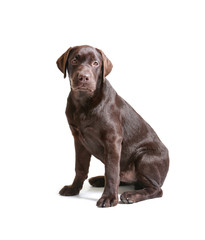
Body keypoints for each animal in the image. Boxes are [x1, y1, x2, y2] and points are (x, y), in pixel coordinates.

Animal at [55, 46, 168, 207]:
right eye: (74, 60)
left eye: (96, 63)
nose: (83, 77)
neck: (84, 102)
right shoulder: (78, 139)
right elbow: (80, 167)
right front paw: (74, 188)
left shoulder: (112, 139)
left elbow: (111, 171)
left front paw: (109, 197)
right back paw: (99, 180)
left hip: (144, 157)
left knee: (156, 189)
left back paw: (131, 195)